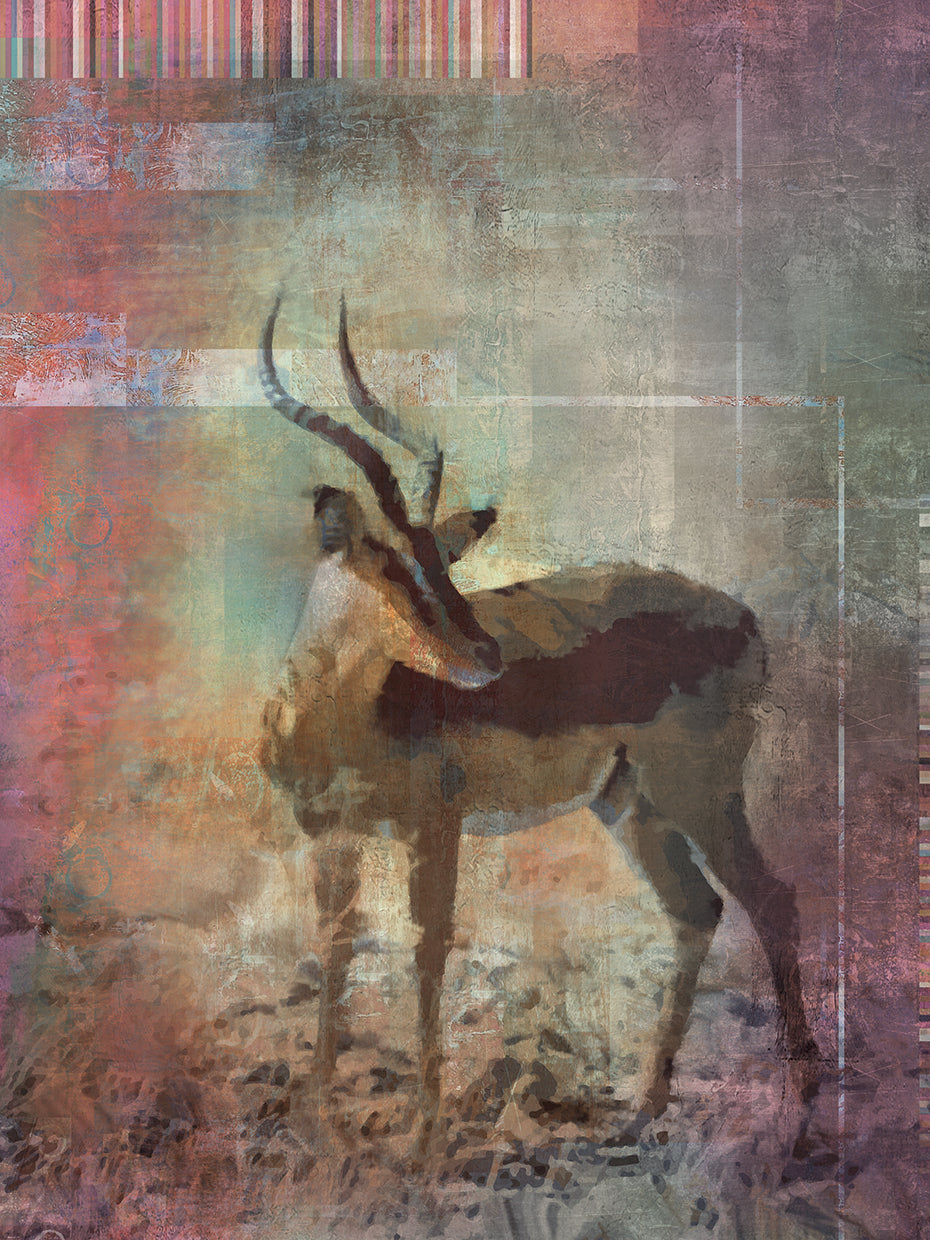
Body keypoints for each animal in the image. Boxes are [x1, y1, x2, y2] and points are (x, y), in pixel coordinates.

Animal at [256, 294, 821, 1148]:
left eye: (443, 560)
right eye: (391, 563)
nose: (486, 654)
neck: (337, 718)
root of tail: (747, 620)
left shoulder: (435, 824)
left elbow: (428, 948)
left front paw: (424, 1129)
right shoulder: (329, 832)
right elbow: (336, 949)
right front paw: (321, 1108)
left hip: (696, 793)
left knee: (773, 899)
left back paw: (801, 1113)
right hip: (627, 802)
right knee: (699, 908)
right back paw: (643, 1108)